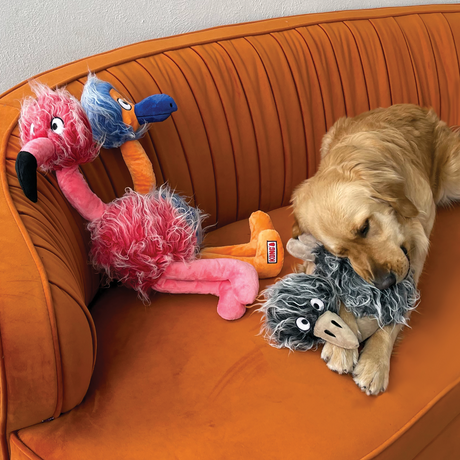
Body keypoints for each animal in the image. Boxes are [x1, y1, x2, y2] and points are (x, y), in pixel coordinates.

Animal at [292, 103, 460, 396]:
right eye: (341, 254)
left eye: (365, 227)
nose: (384, 283)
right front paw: (340, 344)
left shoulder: (415, 254)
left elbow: (395, 313)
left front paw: (375, 361)